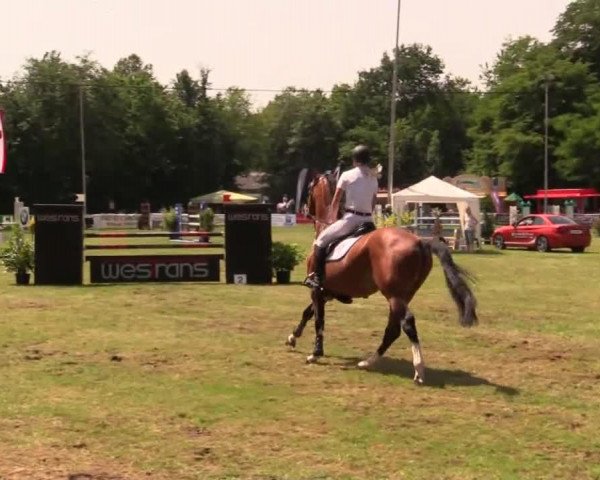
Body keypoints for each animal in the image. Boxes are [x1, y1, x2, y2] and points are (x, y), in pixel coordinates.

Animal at [286, 172, 478, 382]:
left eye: (309, 189)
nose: (304, 210)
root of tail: (421, 242)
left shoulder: (316, 289)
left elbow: (318, 319)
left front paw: (315, 353)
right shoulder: (326, 291)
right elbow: (308, 312)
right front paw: (293, 337)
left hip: (393, 295)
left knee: (407, 323)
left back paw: (418, 369)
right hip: (403, 295)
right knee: (393, 329)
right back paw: (369, 361)